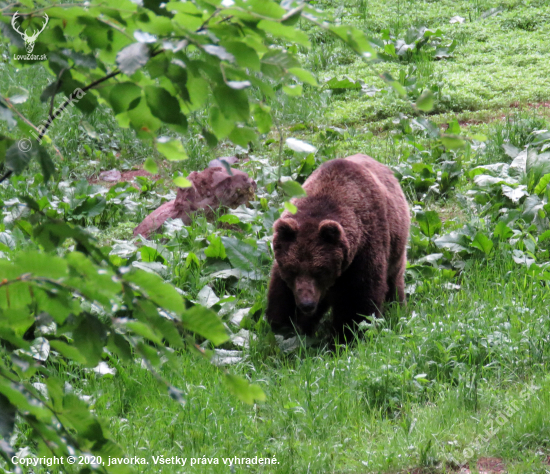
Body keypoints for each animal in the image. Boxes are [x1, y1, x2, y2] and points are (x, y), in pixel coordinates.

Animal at [266, 156, 412, 340]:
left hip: (396, 246)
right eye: (292, 270)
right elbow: (281, 294)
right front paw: (284, 326)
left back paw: (397, 306)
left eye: (320, 270)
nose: (307, 304)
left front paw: (347, 335)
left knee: (394, 278)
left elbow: (358, 301)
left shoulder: (364, 250)